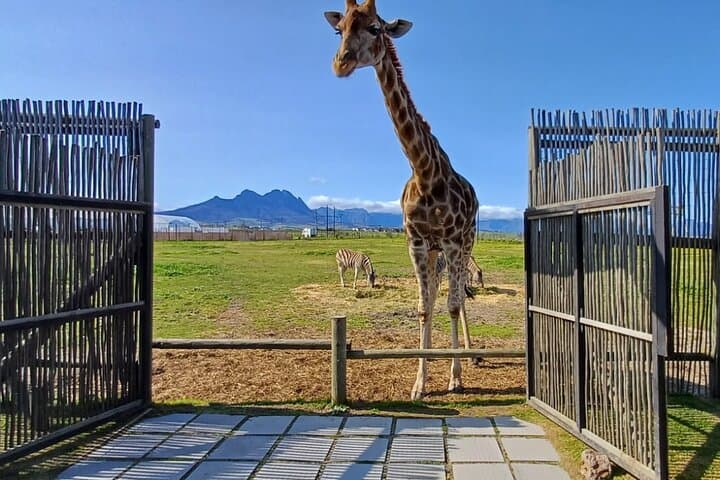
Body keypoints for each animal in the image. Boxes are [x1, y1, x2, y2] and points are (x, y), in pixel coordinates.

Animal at [324, 0, 479, 400]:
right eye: (339, 29)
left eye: (375, 28)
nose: (341, 62)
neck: (425, 172)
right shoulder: (417, 242)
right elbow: (424, 308)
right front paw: (420, 384)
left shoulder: (452, 241)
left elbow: (453, 305)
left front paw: (454, 378)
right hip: (437, 252)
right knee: (438, 294)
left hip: (465, 243)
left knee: (458, 297)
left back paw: (467, 359)